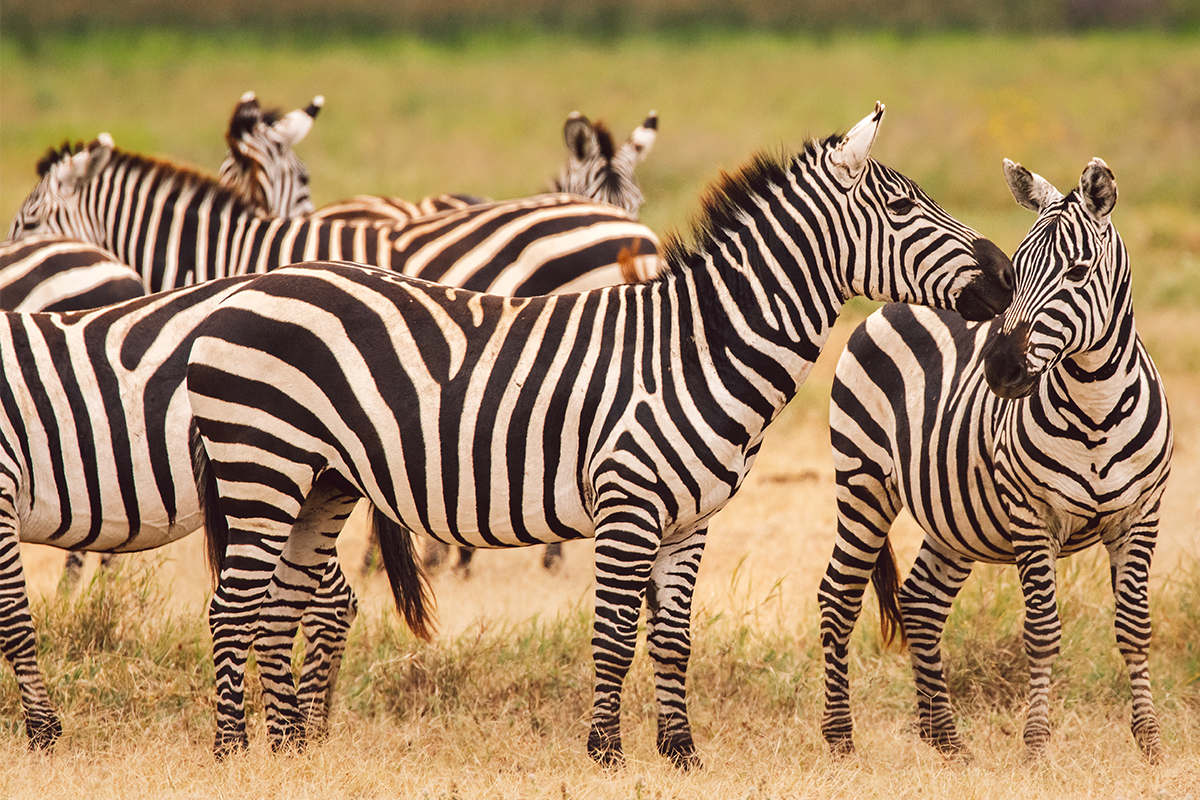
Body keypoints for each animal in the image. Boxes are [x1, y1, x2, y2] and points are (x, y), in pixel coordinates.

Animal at [0, 276, 409, 749]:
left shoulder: (2, 488)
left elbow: (13, 621)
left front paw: (42, 730)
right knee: (329, 601)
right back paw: (311, 726)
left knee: (326, 604)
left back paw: (302, 727)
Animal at [185, 103, 1016, 765]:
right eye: (903, 207)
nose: (1008, 277)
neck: (696, 350)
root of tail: (241, 292)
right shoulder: (628, 504)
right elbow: (615, 632)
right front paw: (607, 753)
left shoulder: (691, 520)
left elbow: (672, 637)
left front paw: (682, 754)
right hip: (261, 466)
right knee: (233, 607)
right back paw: (232, 750)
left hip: (319, 483)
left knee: (280, 607)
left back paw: (288, 750)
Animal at [817, 157, 1170, 763]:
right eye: (1018, 271)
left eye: (1078, 272)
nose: (1001, 370)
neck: (1097, 407)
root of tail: (900, 301)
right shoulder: (1031, 516)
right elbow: (1043, 632)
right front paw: (1036, 748)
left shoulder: (1140, 517)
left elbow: (1134, 628)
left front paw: (1148, 742)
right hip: (863, 482)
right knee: (838, 598)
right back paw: (841, 739)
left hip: (955, 517)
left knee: (921, 602)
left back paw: (944, 740)